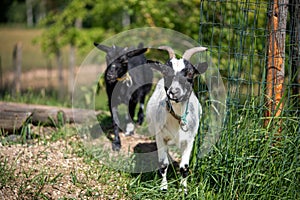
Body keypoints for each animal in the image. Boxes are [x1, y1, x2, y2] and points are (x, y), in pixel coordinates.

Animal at [146, 45, 207, 192]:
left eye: (190, 74)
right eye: (165, 72)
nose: (173, 92)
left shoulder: (189, 140)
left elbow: (184, 167)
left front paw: (183, 189)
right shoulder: (160, 137)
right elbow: (163, 164)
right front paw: (163, 188)